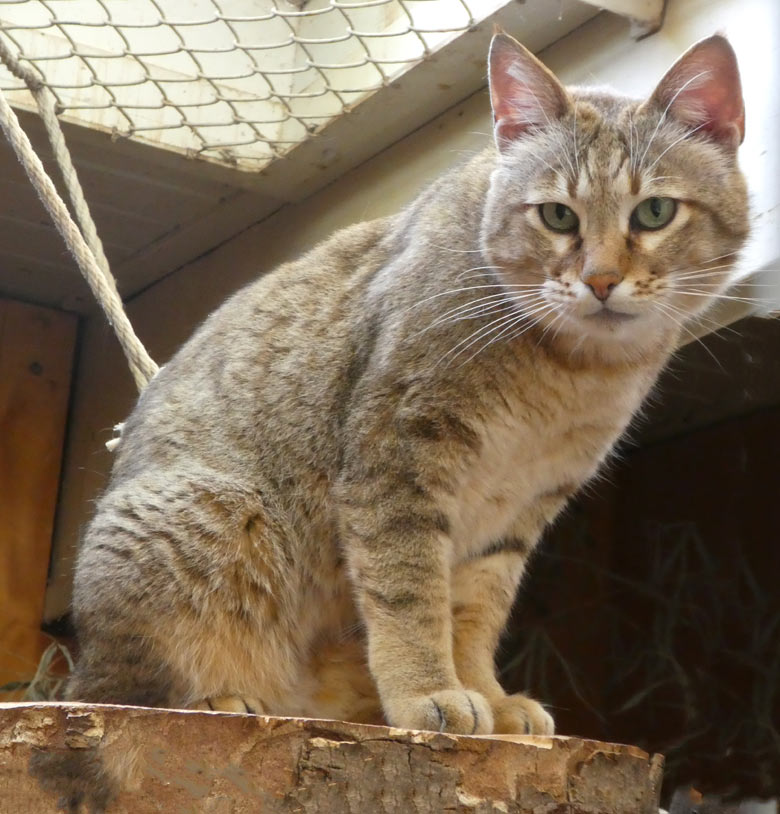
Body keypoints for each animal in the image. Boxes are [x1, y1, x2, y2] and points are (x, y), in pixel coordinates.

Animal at [32, 30, 748, 808]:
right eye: (558, 215)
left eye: (654, 213)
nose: (601, 281)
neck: (573, 371)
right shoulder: (396, 458)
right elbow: (411, 596)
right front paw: (427, 692)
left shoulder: (520, 510)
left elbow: (474, 612)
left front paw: (487, 695)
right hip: (205, 513)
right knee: (126, 686)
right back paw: (221, 697)